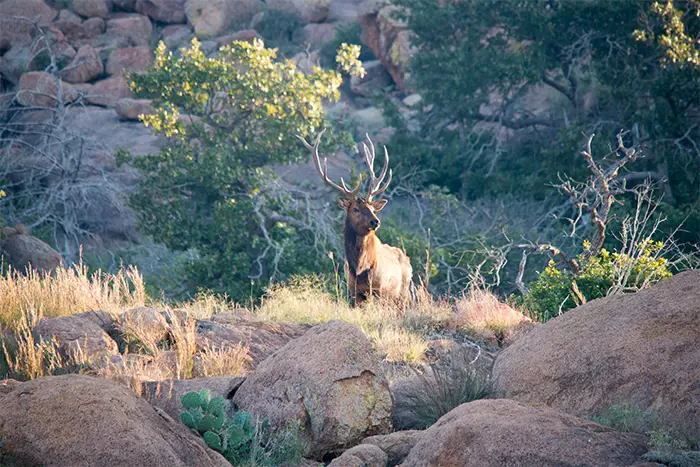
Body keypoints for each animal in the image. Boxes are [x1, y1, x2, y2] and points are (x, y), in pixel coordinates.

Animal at [297, 131, 413, 306]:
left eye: (372, 209)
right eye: (356, 209)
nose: (375, 221)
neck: (360, 269)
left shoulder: (378, 290)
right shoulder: (353, 291)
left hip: (403, 294)